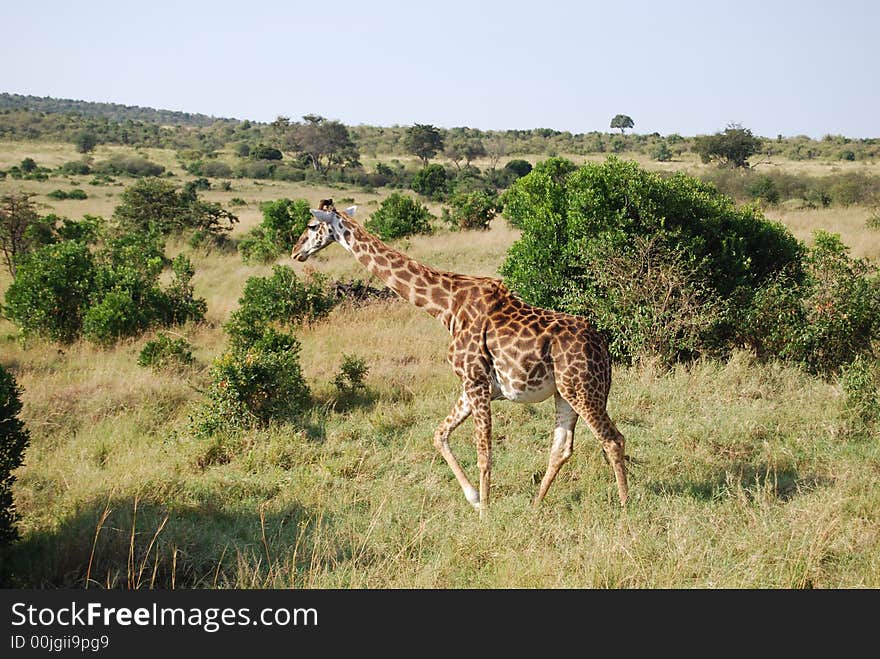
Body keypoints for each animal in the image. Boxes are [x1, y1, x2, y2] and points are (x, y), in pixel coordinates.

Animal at [292, 201, 628, 516]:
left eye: (311, 226)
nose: (296, 252)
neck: (445, 307)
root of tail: (602, 347)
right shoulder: (473, 386)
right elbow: (439, 435)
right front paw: (475, 500)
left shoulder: (476, 381)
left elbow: (484, 453)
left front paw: (486, 513)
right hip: (565, 392)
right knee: (562, 448)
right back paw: (535, 505)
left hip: (582, 389)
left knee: (613, 439)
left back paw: (626, 507)